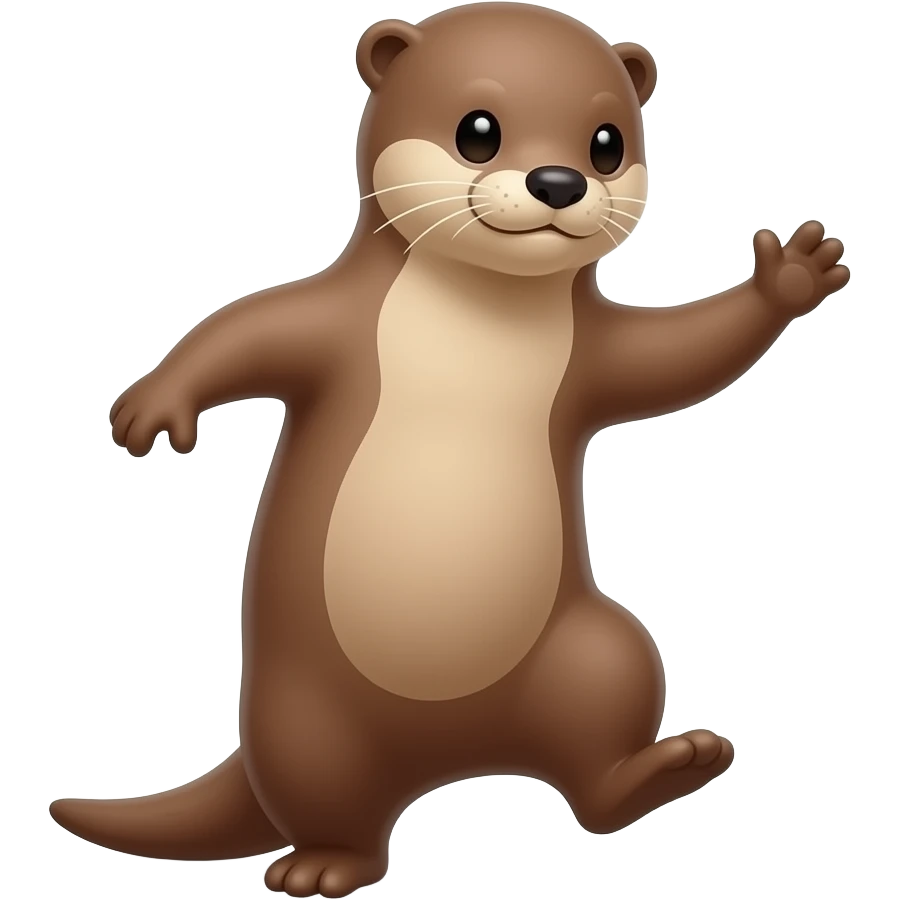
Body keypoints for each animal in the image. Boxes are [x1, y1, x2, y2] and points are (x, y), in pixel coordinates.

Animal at [50, 4, 851, 898]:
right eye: (478, 131)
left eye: (607, 142)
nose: (559, 181)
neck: (474, 318)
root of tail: (454, 755)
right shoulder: (328, 322)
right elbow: (240, 330)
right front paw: (152, 407)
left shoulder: (596, 358)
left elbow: (675, 358)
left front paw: (789, 280)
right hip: (303, 718)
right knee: (336, 799)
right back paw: (324, 865)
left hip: (595, 653)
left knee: (595, 761)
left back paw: (662, 771)